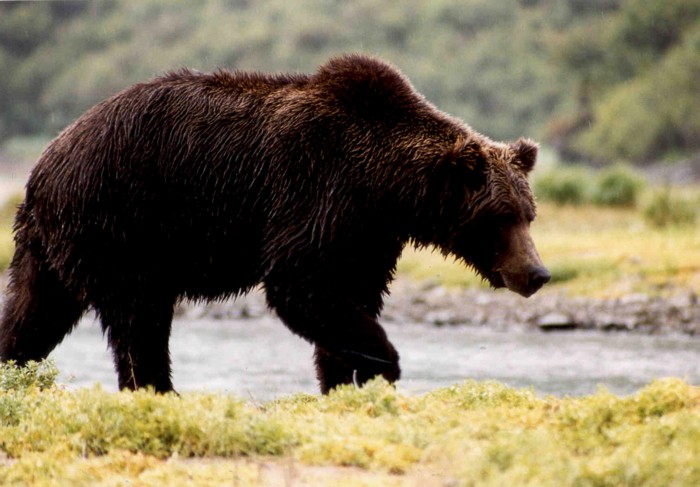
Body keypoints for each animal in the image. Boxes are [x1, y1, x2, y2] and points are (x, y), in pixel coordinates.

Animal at [0, 55, 548, 394]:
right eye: (500, 217)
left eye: (529, 213)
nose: (538, 274)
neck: (386, 188)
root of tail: (43, 164)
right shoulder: (317, 195)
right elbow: (300, 287)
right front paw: (383, 366)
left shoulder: (367, 236)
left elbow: (350, 297)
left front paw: (344, 382)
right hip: (120, 223)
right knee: (140, 320)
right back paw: (159, 391)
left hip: (53, 247)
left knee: (34, 312)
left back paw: (15, 371)